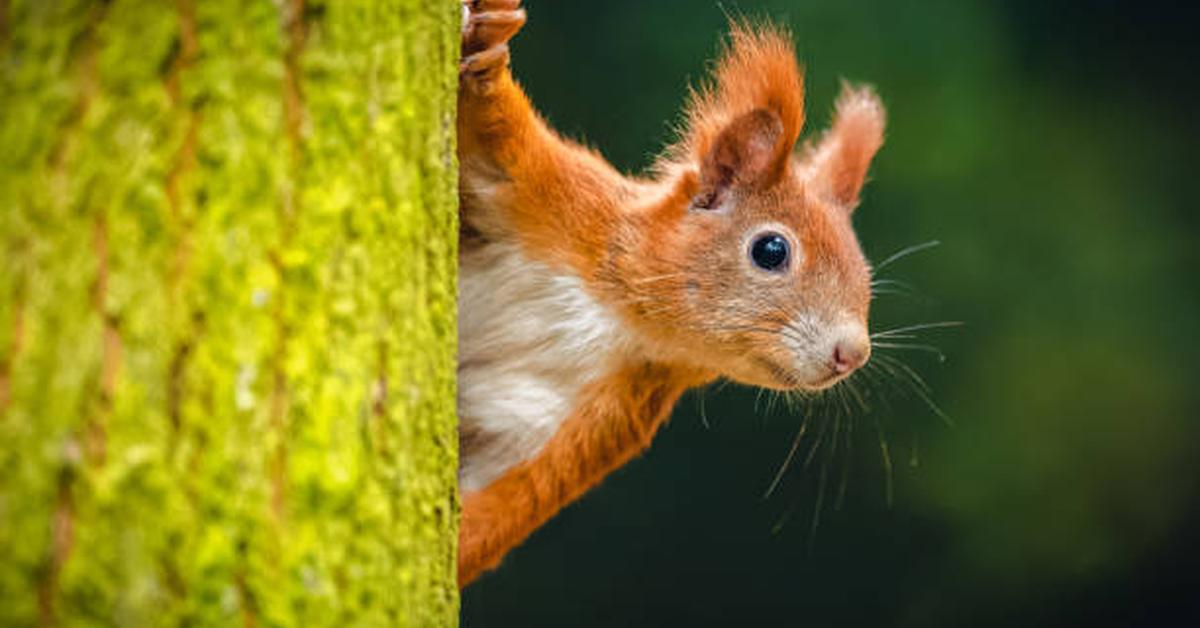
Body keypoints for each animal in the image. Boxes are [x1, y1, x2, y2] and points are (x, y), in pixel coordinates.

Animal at [453, 1, 888, 590]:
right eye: (772, 250)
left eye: (865, 272)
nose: (853, 353)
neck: (616, 315)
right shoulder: (555, 197)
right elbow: (497, 135)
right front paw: (488, 46)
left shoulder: (594, 415)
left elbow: (505, 499)